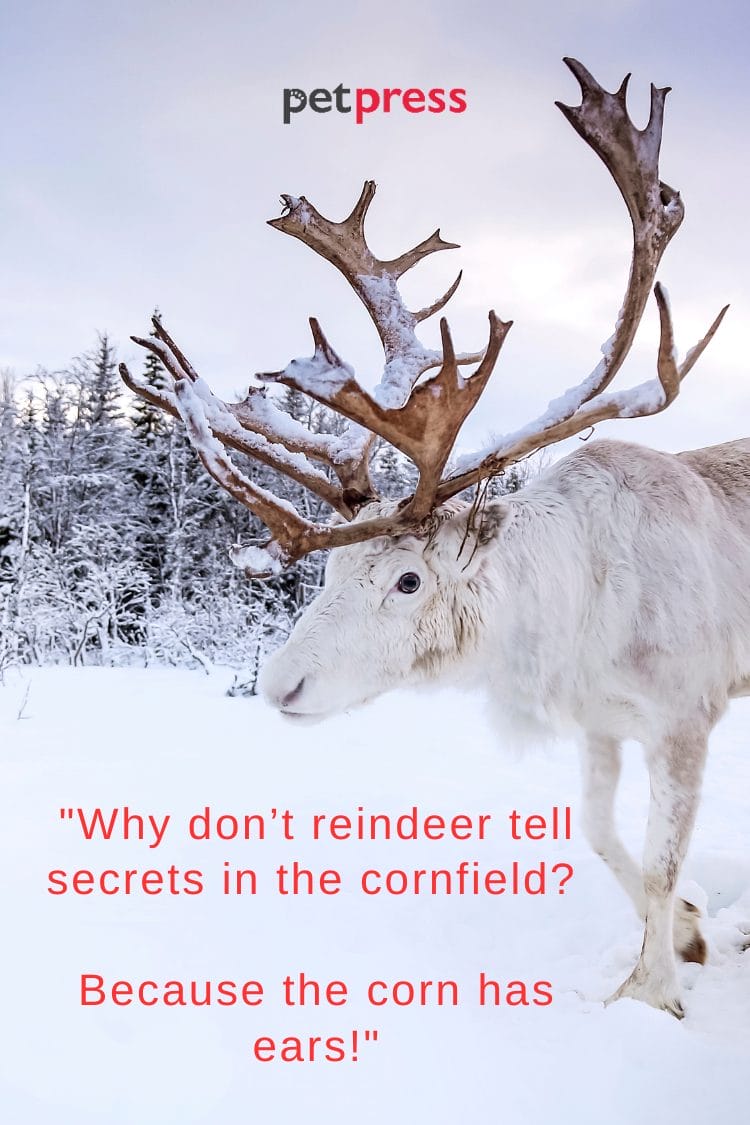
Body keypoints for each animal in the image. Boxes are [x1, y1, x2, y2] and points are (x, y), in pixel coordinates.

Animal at [121, 59, 747, 1019]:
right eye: (330, 570)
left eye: (409, 580)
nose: (278, 684)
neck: (577, 617)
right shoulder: (602, 722)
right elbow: (602, 834)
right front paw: (685, 928)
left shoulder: (686, 714)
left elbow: (660, 853)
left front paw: (654, 993)